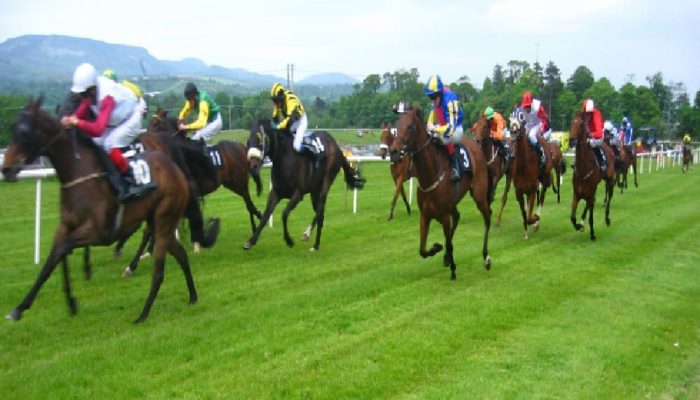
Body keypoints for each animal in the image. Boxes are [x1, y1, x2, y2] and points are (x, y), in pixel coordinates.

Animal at [1, 98, 197, 324]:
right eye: (12, 128)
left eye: (24, 132)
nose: (6, 169)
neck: (79, 173)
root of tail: (175, 168)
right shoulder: (65, 227)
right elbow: (52, 260)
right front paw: (25, 307)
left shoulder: (99, 232)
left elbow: (63, 250)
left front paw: (73, 294)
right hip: (159, 222)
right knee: (180, 253)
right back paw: (192, 296)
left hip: (164, 218)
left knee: (158, 271)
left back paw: (142, 313)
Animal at [388, 103, 492, 280]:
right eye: (397, 125)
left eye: (409, 127)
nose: (394, 152)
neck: (431, 175)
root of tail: (476, 145)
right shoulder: (425, 215)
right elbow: (422, 250)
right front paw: (437, 248)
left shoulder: (443, 215)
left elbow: (448, 243)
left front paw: (453, 269)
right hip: (454, 204)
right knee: (457, 217)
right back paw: (447, 257)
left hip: (479, 194)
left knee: (487, 217)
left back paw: (485, 257)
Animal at [506, 111, 556, 239]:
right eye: (511, 117)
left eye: (521, 117)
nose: (513, 130)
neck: (523, 164)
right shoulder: (519, 192)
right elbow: (524, 213)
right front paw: (526, 233)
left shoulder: (531, 190)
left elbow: (529, 216)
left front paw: (535, 219)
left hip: (545, 178)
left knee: (541, 199)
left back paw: (537, 222)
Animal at [568, 111, 616, 239]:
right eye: (571, 122)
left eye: (580, 124)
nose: (571, 140)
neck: (583, 169)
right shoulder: (577, 193)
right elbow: (572, 217)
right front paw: (579, 225)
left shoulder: (590, 191)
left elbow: (591, 217)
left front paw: (592, 234)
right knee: (589, 204)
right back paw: (582, 221)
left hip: (609, 180)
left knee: (609, 196)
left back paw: (607, 218)